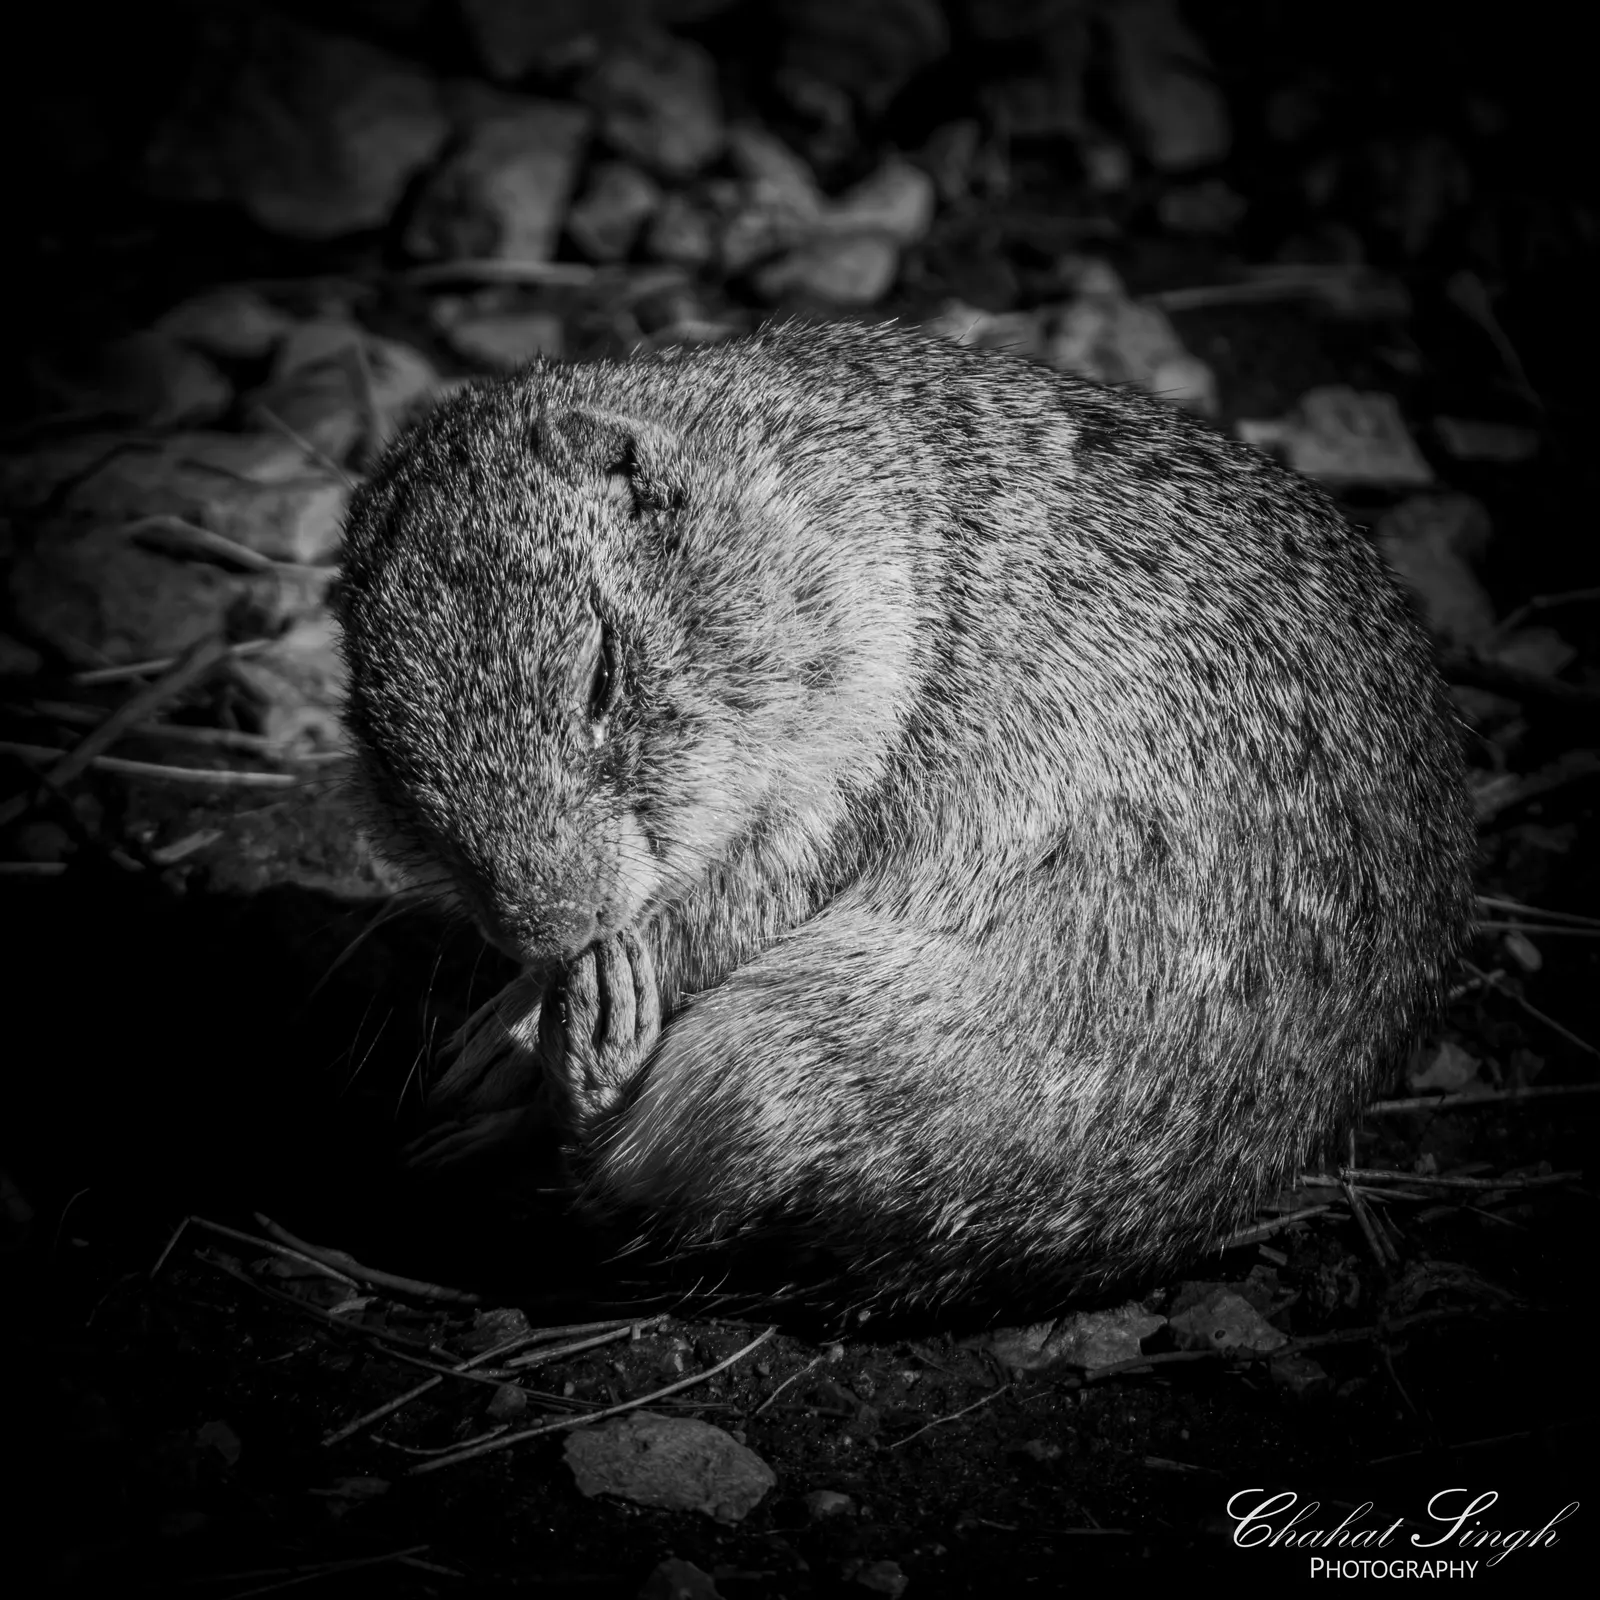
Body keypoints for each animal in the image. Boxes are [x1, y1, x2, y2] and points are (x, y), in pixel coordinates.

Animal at [335, 319, 1475, 1313]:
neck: (810, 503)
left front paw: (504, 1035)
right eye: (377, 740)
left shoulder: (833, 767)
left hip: (788, 1054)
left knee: (619, 1181)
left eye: (601, 671)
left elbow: (709, 918)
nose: (544, 928)